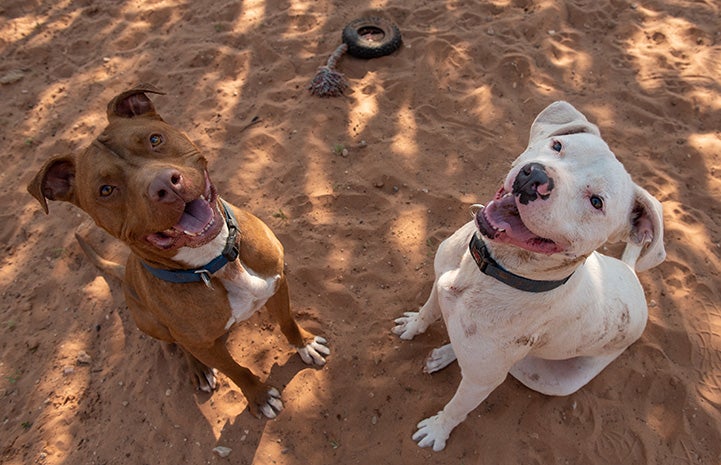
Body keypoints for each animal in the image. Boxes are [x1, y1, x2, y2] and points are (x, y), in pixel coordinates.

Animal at [28, 84, 330, 416]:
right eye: (105, 190)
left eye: (154, 140)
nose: (165, 185)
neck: (215, 260)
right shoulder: (203, 344)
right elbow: (237, 371)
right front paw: (259, 396)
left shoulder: (278, 284)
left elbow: (288, 323)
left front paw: (305, 345)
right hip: (151, 323)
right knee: (179, 344)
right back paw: (198, 370)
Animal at [394, 100, 664, 450]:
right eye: (557, 146)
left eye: (596, 202)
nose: (535, 175)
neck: (490, 270)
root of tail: (632, 273)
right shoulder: (440, 280)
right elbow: (429, 310)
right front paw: (414, 325)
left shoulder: (481, 381)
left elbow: (457, 408)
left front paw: (438, 430)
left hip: (549, 378)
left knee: (510, 368)